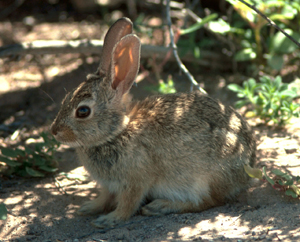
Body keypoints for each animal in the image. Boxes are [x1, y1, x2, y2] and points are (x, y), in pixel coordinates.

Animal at [51, 17, 255, 229]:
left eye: (83, 112)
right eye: (66, 98)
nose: (54, 131)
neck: (116, 133)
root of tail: (249, 161)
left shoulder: (135, 181)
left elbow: (128, 204)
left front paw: (109, 220)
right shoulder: (109, 185)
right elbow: (104, 198)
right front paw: (88, 208)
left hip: (205, 179)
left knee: (208, 202)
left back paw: (160, 206)